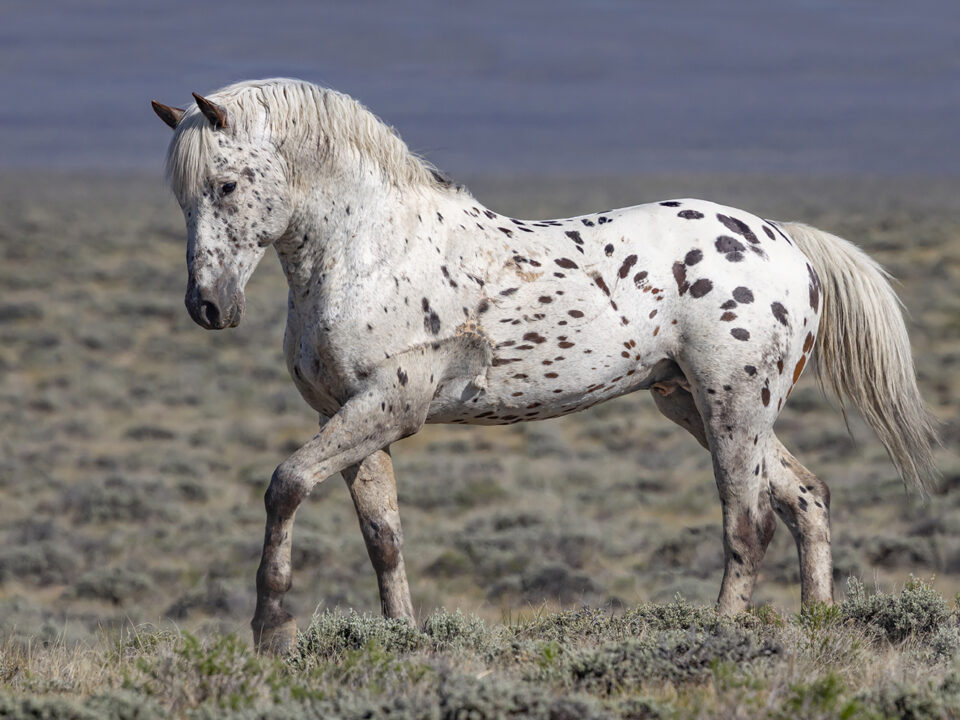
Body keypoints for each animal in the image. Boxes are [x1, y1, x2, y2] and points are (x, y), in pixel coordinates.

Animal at [151, 78, 938, 653]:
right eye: (181, 194)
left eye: (225, 185)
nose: (208, 306)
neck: (370, 252)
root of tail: (788, 244)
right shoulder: (346, 415)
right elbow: (383, 538)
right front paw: (400, 637)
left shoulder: (389, 405)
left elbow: (284, 485)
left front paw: (271, 631)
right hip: (690, 401)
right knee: (807, 498)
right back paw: (818, 626)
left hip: (732, 405)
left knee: (749, 523)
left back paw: (719, 637)